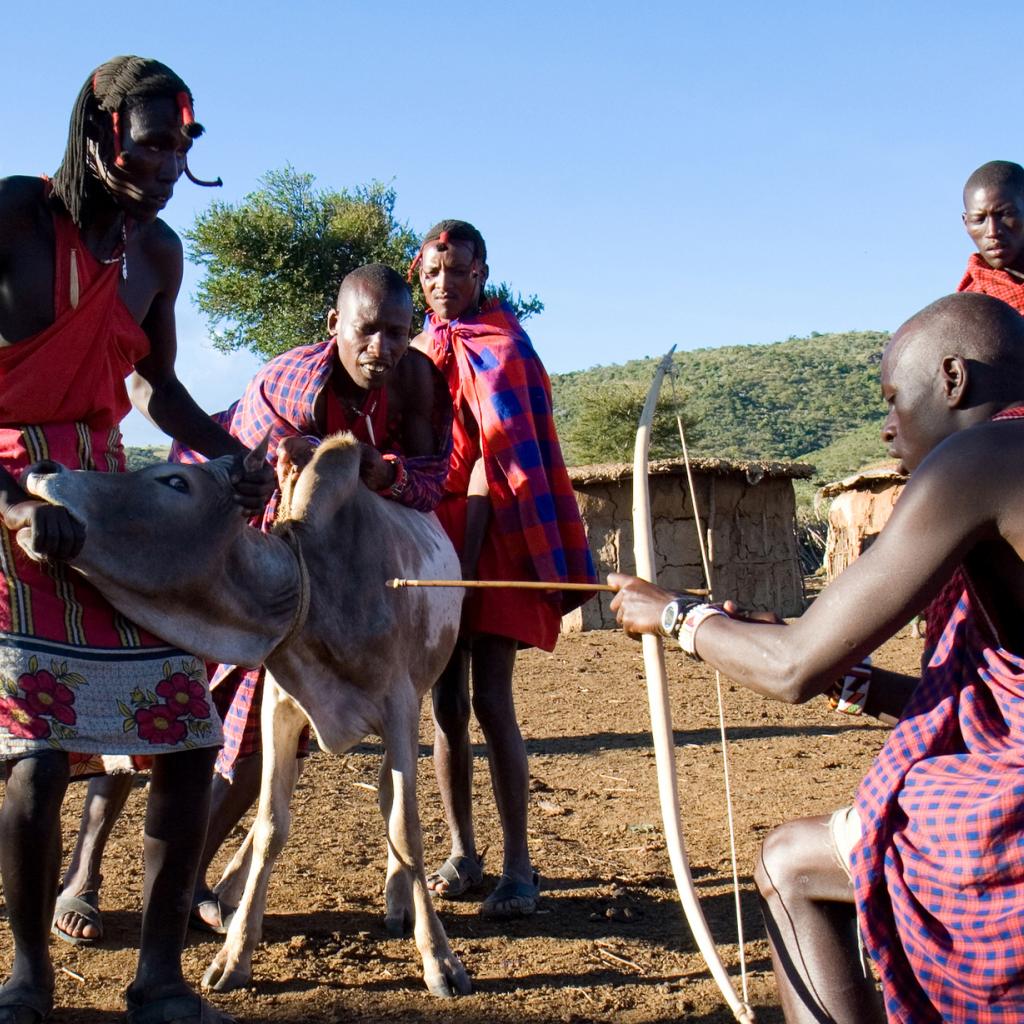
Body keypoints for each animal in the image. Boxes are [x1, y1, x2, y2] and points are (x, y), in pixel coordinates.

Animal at [20, 436, 468, 995]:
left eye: (175, 481)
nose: (42, 467)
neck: (315, 585)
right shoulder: (279, 709)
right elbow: (272, 824)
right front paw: (234, 954)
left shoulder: (400, 709)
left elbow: (405, 828)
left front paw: (439, 958)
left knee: (388, 794)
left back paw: (396, 899)